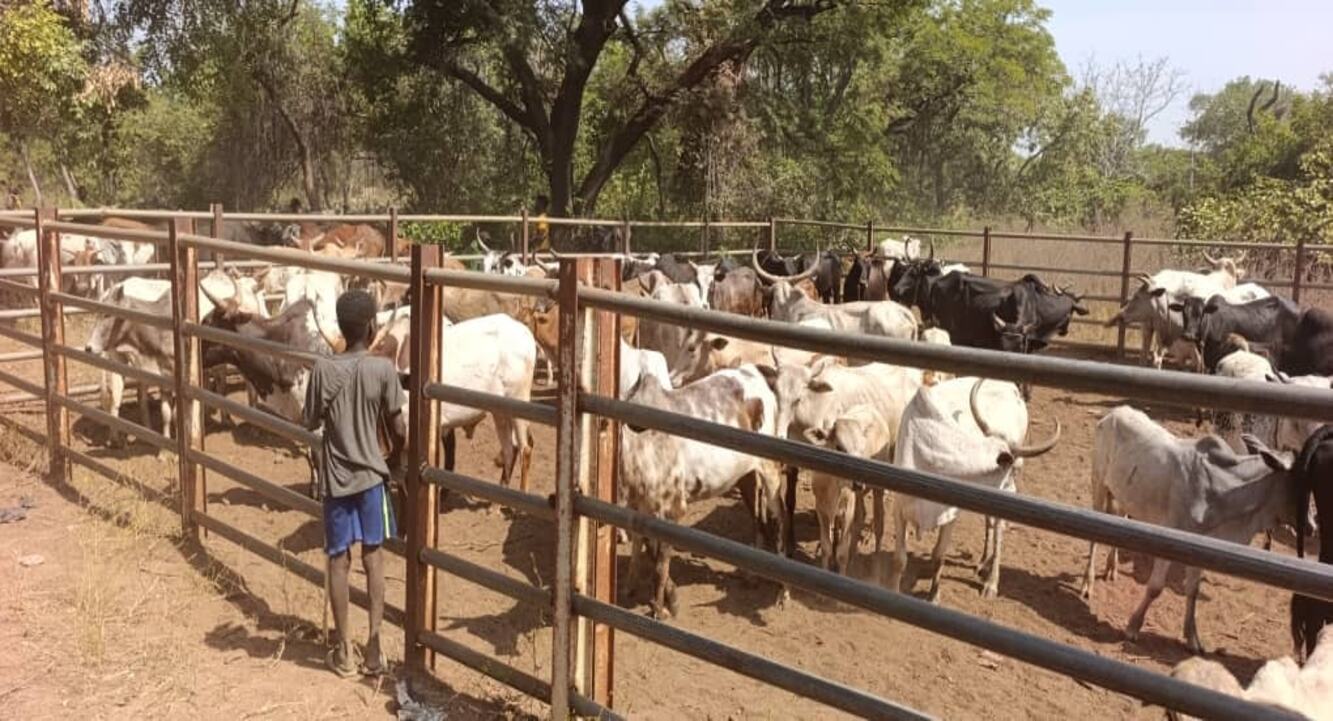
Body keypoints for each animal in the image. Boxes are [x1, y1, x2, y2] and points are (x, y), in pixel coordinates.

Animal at [619, 364, 786, 619]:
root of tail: (757, 370)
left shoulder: (673, 508)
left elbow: (659, 563)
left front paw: (661, 609)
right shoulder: (639, 505)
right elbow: (646, 546)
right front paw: (647, 593)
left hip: (770, 471)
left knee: (779, 520)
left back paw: (782, 592)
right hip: (746, 476)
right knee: (759, 519)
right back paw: (752, 576)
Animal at [890, 378, 1059, 601]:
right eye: (1011, 469)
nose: (1013, 492)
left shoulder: (950, 514)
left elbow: (939, 555)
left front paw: (934, 595)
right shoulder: (899, 508)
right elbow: (899, 559)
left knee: (998, 530)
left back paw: (991, 583)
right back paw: (982, 563)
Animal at [1082, 405, 1298, 653]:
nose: (1312, 525)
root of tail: (1114, 412)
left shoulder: (1200, 551)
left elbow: (1192, 592)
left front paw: (1192, 638)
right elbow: (1155, 587)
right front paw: (1133, 627)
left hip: (1121, 496)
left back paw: (1112, 568)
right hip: (1098, 484)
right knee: (1094, 536)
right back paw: (1088, 584)